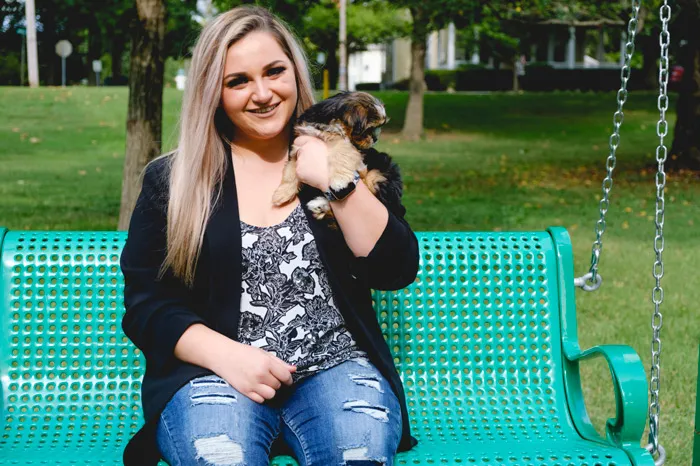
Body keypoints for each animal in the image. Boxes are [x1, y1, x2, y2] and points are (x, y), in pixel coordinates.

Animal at [274, 92, 404, 223]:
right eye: (369, 128)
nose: (375, 139)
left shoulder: (345, 144)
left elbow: (341, 153)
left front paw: (339, 181)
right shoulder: (299, 147)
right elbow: (291, 170)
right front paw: (283, 192)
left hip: (379, 174)